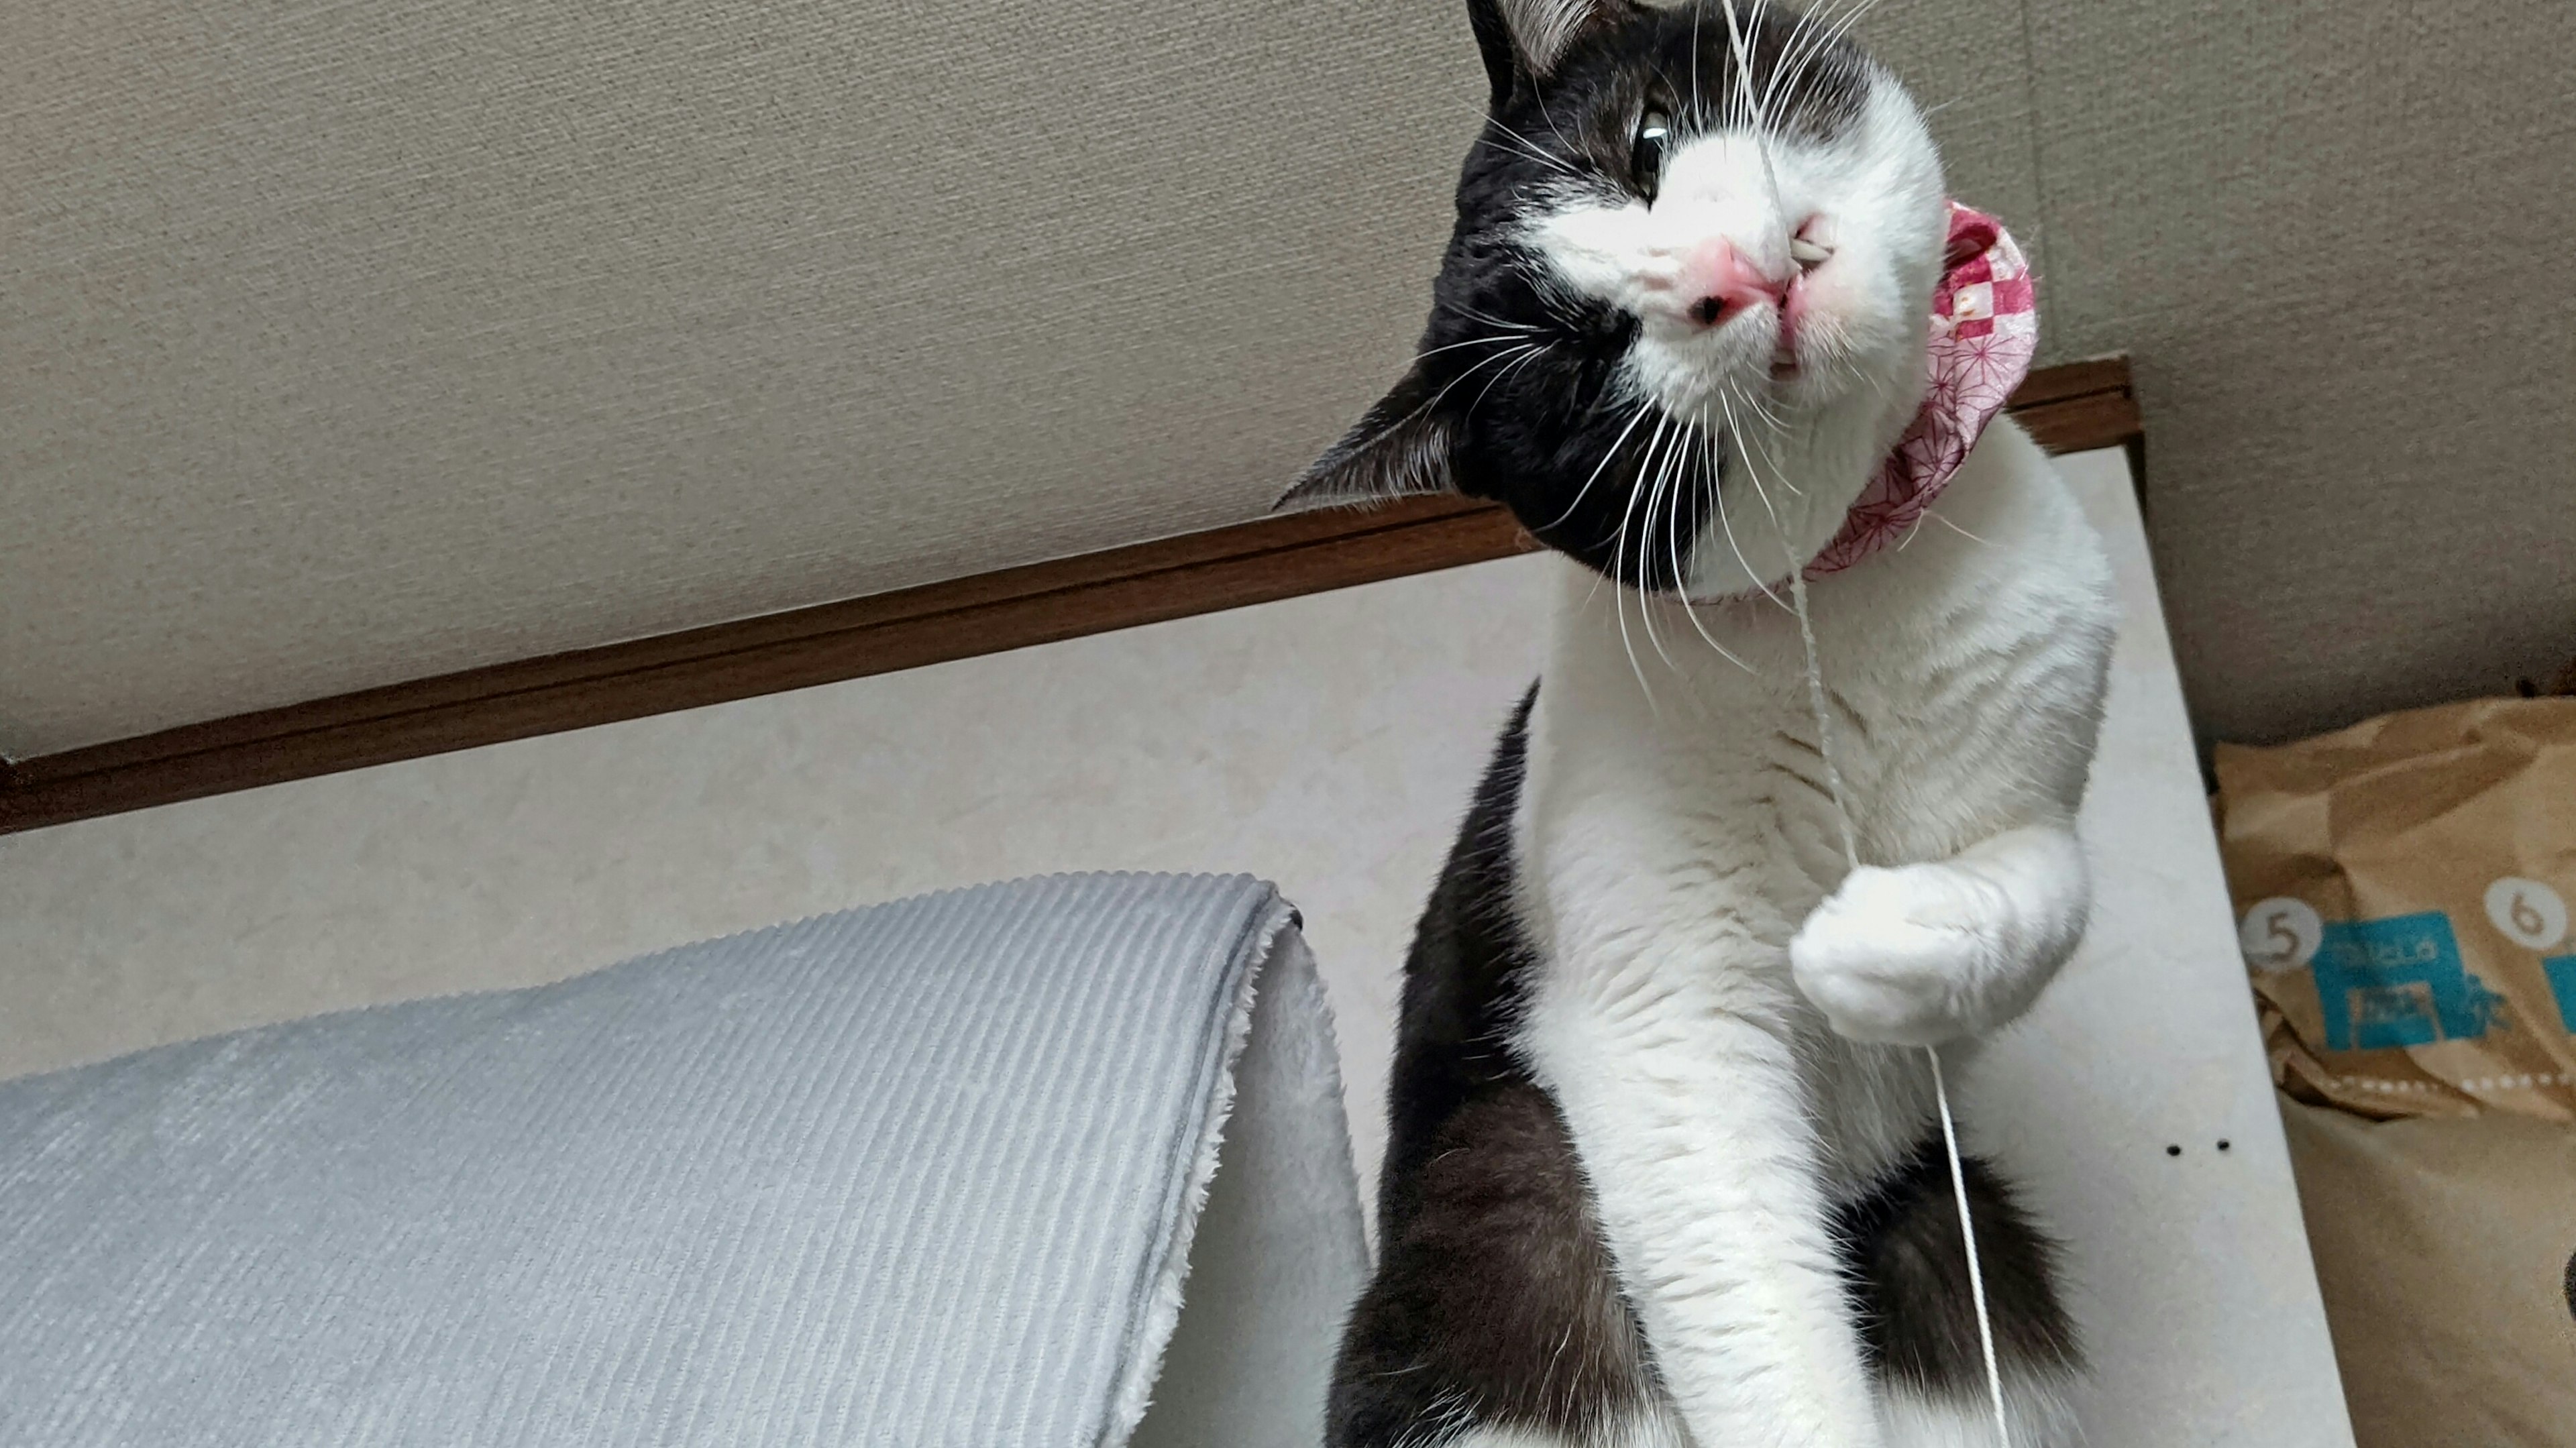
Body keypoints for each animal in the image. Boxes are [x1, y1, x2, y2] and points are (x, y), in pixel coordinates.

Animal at [1288, 3, 2112, 1443]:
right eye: (1577, 357)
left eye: (1648, 146)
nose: (1720, 277)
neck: (1842, 594)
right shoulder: (1652, 1010)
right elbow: (1747, 1291)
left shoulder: (2051, 722)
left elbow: (2048, 881)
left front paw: (1876, 941)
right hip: (1509, 1211)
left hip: (1959, 1253)